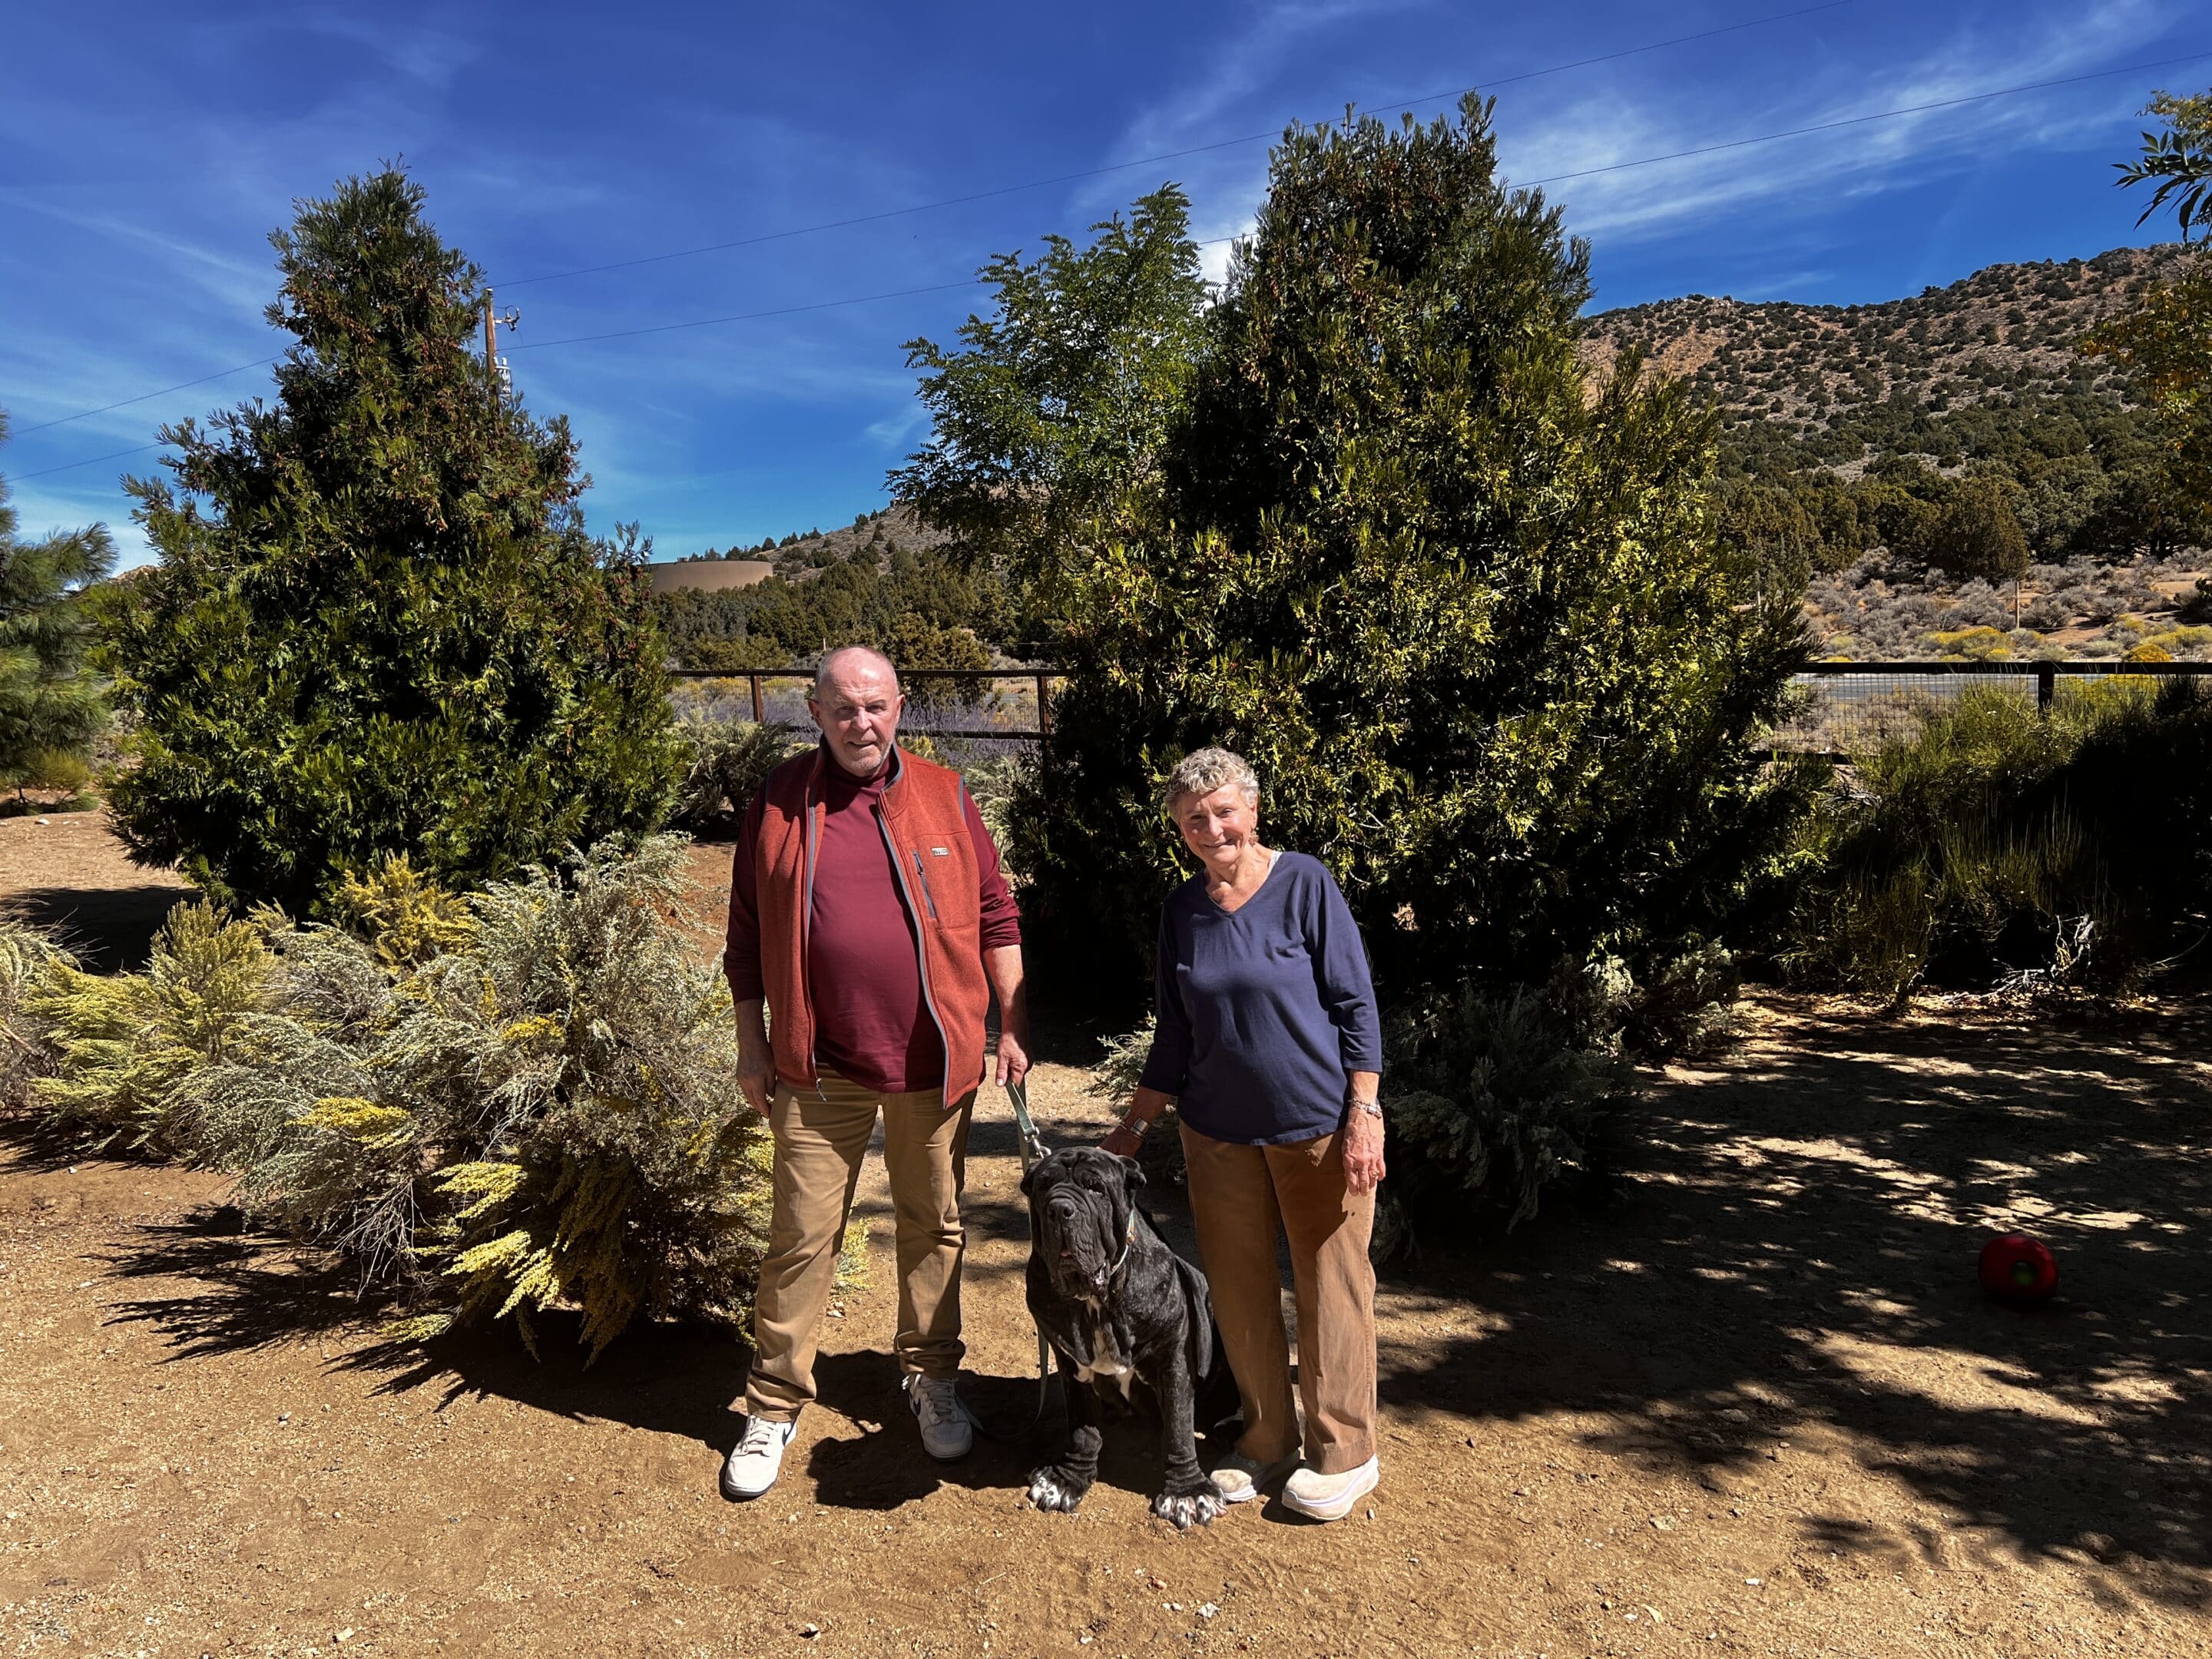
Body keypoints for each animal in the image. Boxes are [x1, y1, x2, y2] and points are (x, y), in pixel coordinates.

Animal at [1017, 1159, 1247, 1530]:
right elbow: (1082, 1429)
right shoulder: (1070, 1364)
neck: (1097, 1297)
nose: (1059, 1209)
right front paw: (1066, 1480)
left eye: (1096, 1188)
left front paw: (1188, 1493)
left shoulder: (1173, 1359)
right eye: (1043, 1186)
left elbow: (1179, 1428)